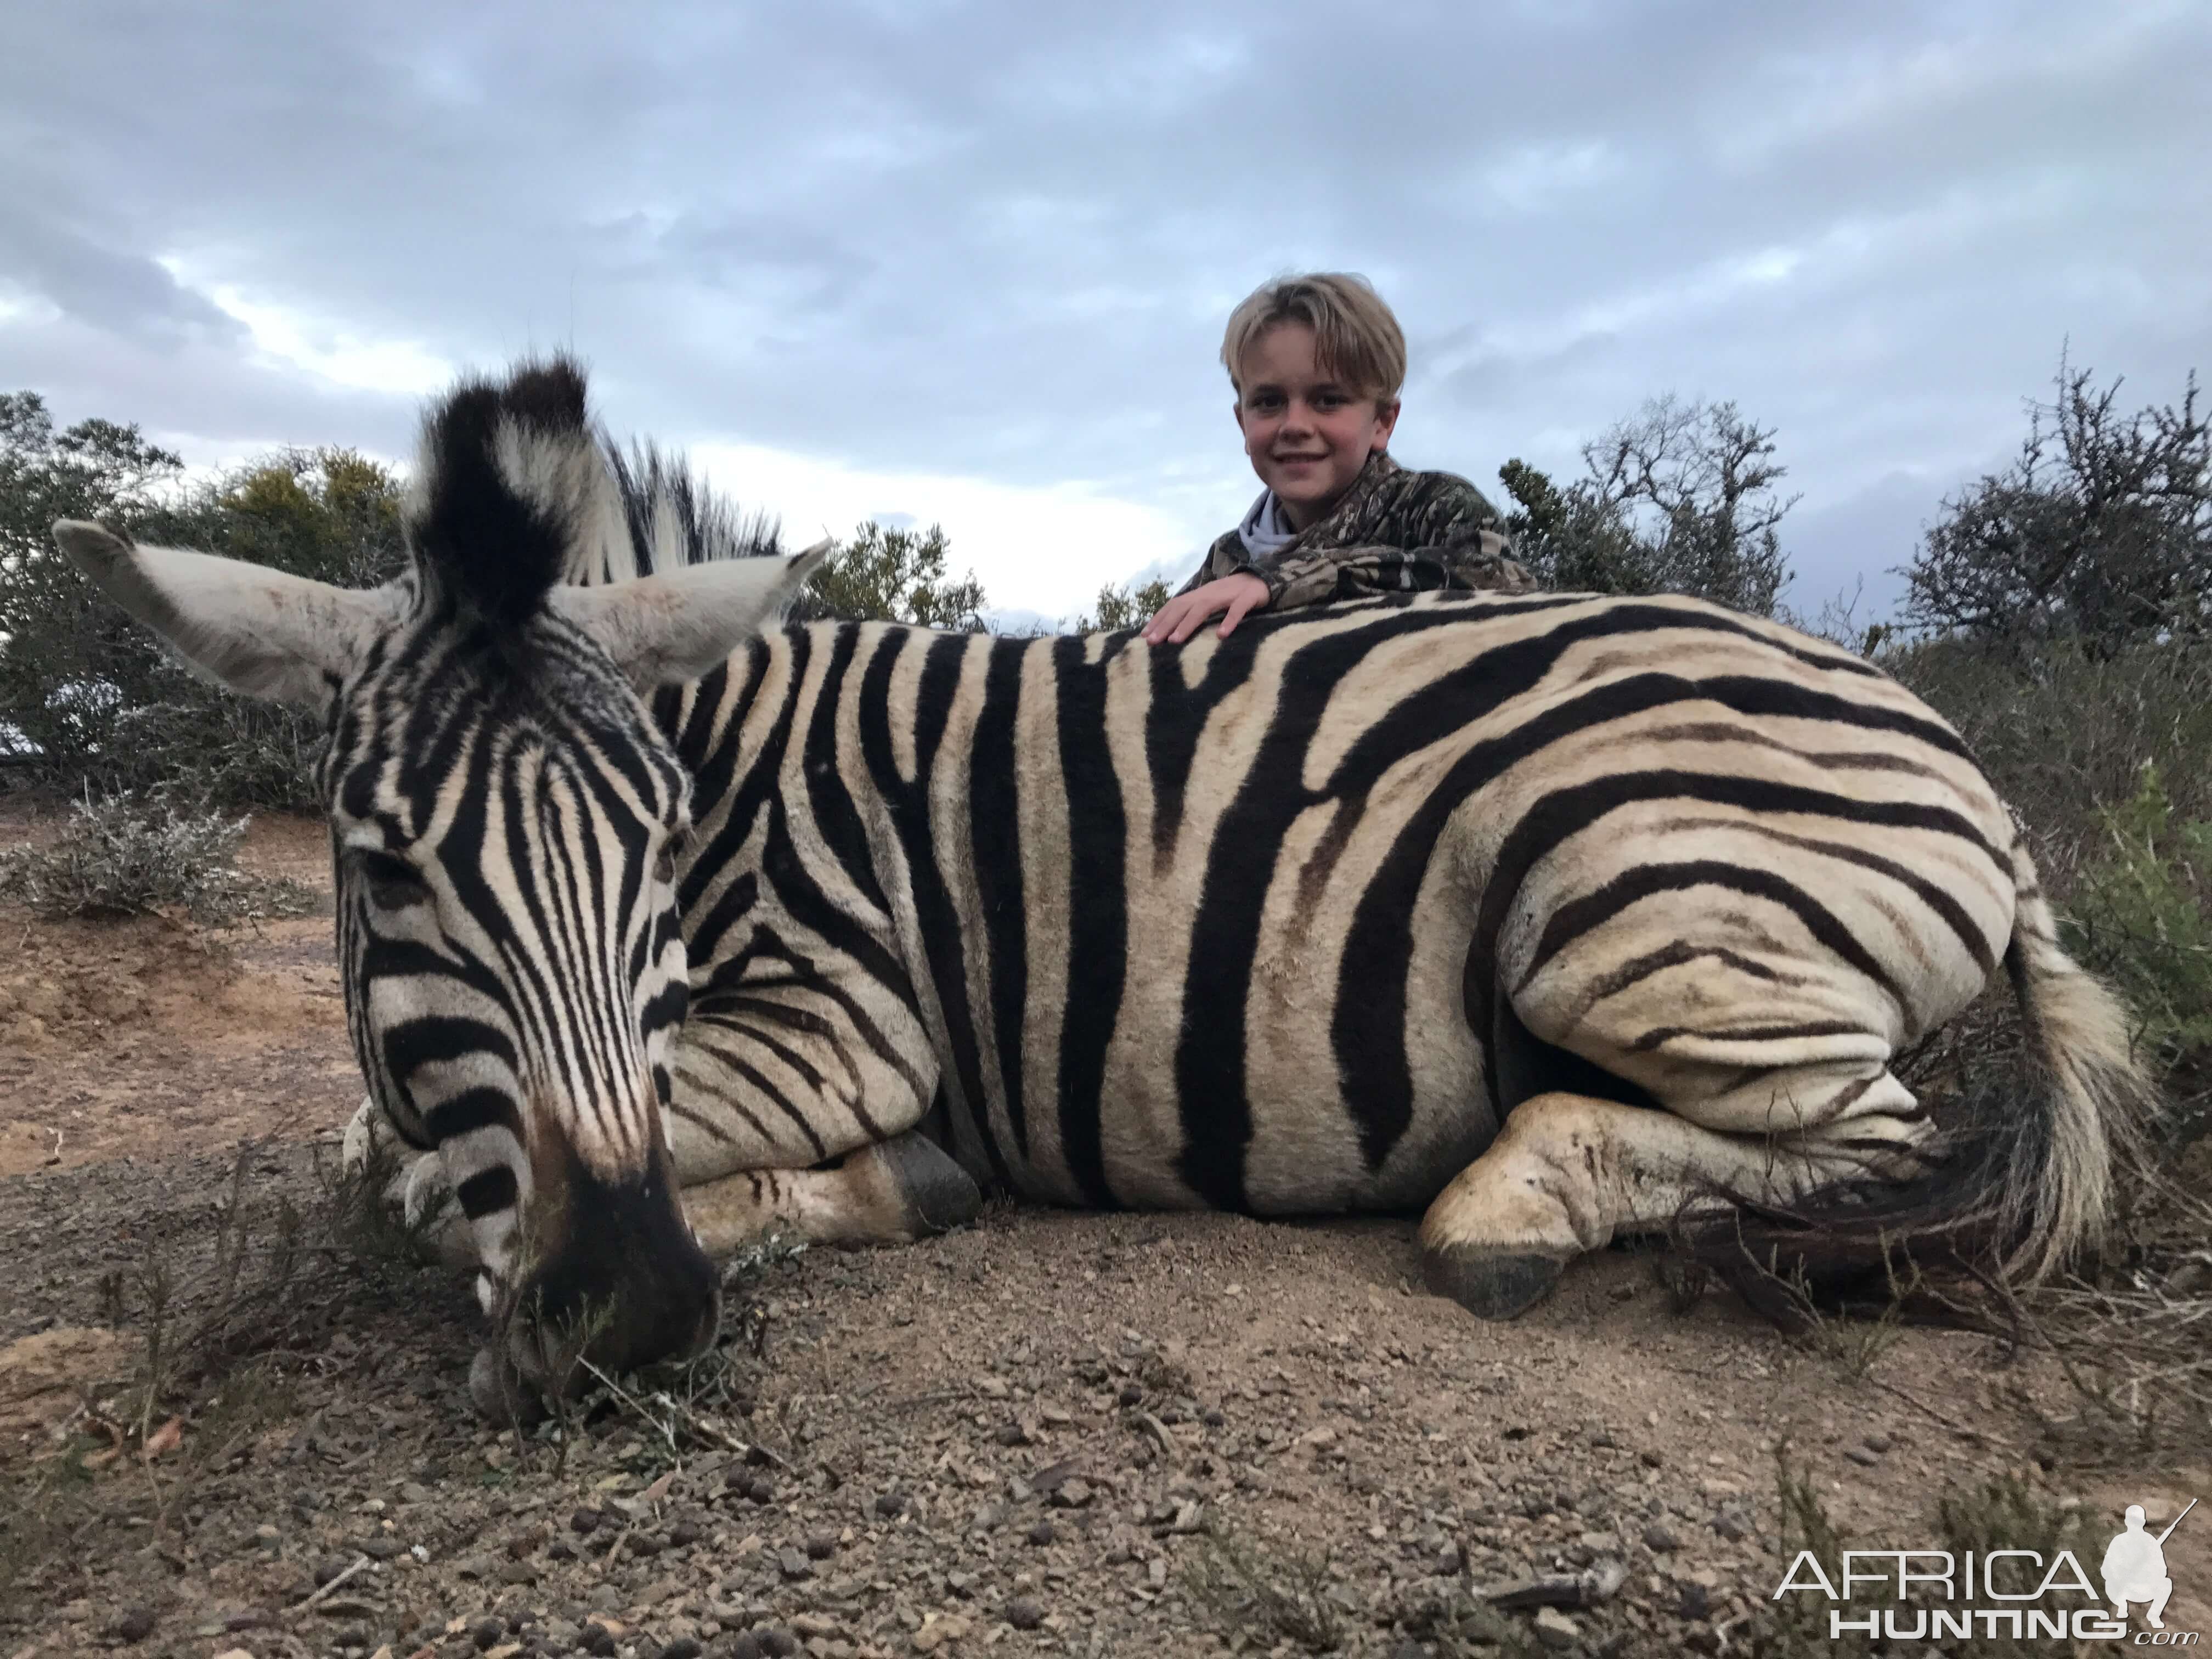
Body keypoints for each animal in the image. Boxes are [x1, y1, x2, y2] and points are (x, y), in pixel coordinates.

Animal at [52, 358, 2150, 1407]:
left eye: (653, 847)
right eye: (382, 863)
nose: (629, 1319)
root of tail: (1965, 773)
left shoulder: (841, 1016)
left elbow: (418, 1184)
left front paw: (860, 1191)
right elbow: (375, 1148)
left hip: (1627, 903)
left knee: (1868, 1139)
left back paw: (1509, 1204)